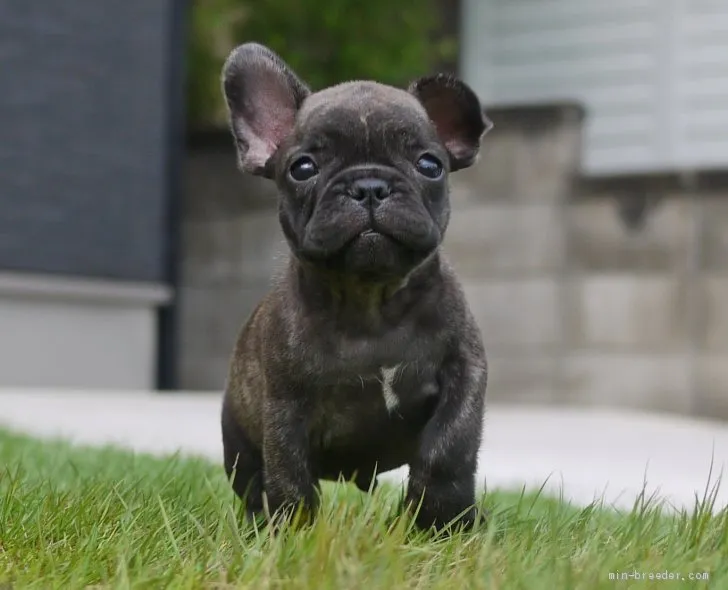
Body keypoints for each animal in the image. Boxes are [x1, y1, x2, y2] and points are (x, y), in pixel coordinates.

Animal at [222, 41, 492, 532]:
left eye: (430, 165)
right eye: (303, 168)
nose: (369, 186)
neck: (371, 301)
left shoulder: (465, 371)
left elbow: (449, 448)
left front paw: (439, 520)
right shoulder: (285, 404)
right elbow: (288, 471)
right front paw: (295, 532)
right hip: (237, 441)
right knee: (252, 481)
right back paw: (258, 527)